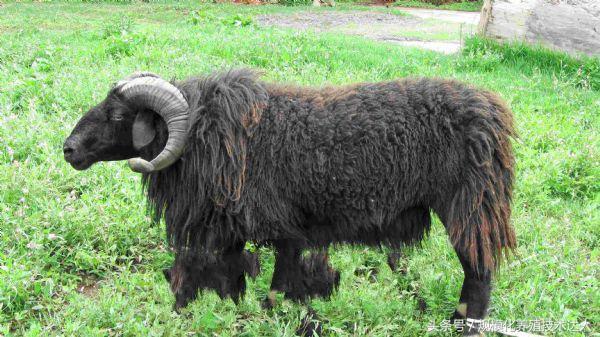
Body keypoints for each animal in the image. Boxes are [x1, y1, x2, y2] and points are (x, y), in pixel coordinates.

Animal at [64, 69, 516, 334]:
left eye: (118, 115)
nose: (69, 149)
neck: (208, 136)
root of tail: (492, 113)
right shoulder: (236, 232)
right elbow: (233, 281)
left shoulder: (288, 231)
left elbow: (278, 290)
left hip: (469, 208)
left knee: (478, 275)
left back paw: (461, 324)